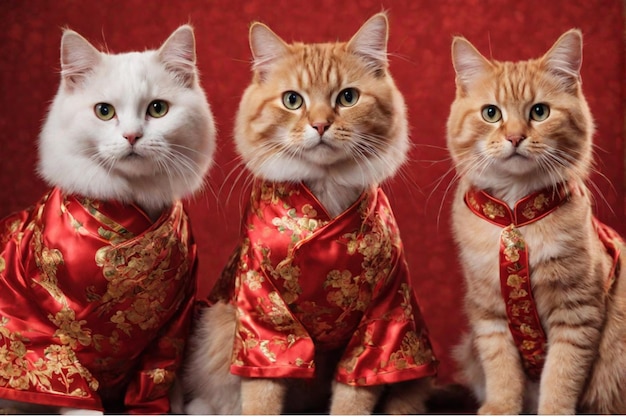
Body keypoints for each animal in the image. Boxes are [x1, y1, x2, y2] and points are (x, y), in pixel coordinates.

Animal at [178, 12, 436, 412]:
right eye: (292, 100)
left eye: (348, 97)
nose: (320, 125)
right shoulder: (263, 315)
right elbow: (261, 393)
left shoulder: (385, 317)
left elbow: (353, 396)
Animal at [446, 29, 624, 412]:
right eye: (491, 113)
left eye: (539, 112)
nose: (515, 137)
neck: (516, 220)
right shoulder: (489, 315)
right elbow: (502, 374)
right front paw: (500, 408)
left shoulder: (577, 312)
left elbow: (560, 377)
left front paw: (553, 409)